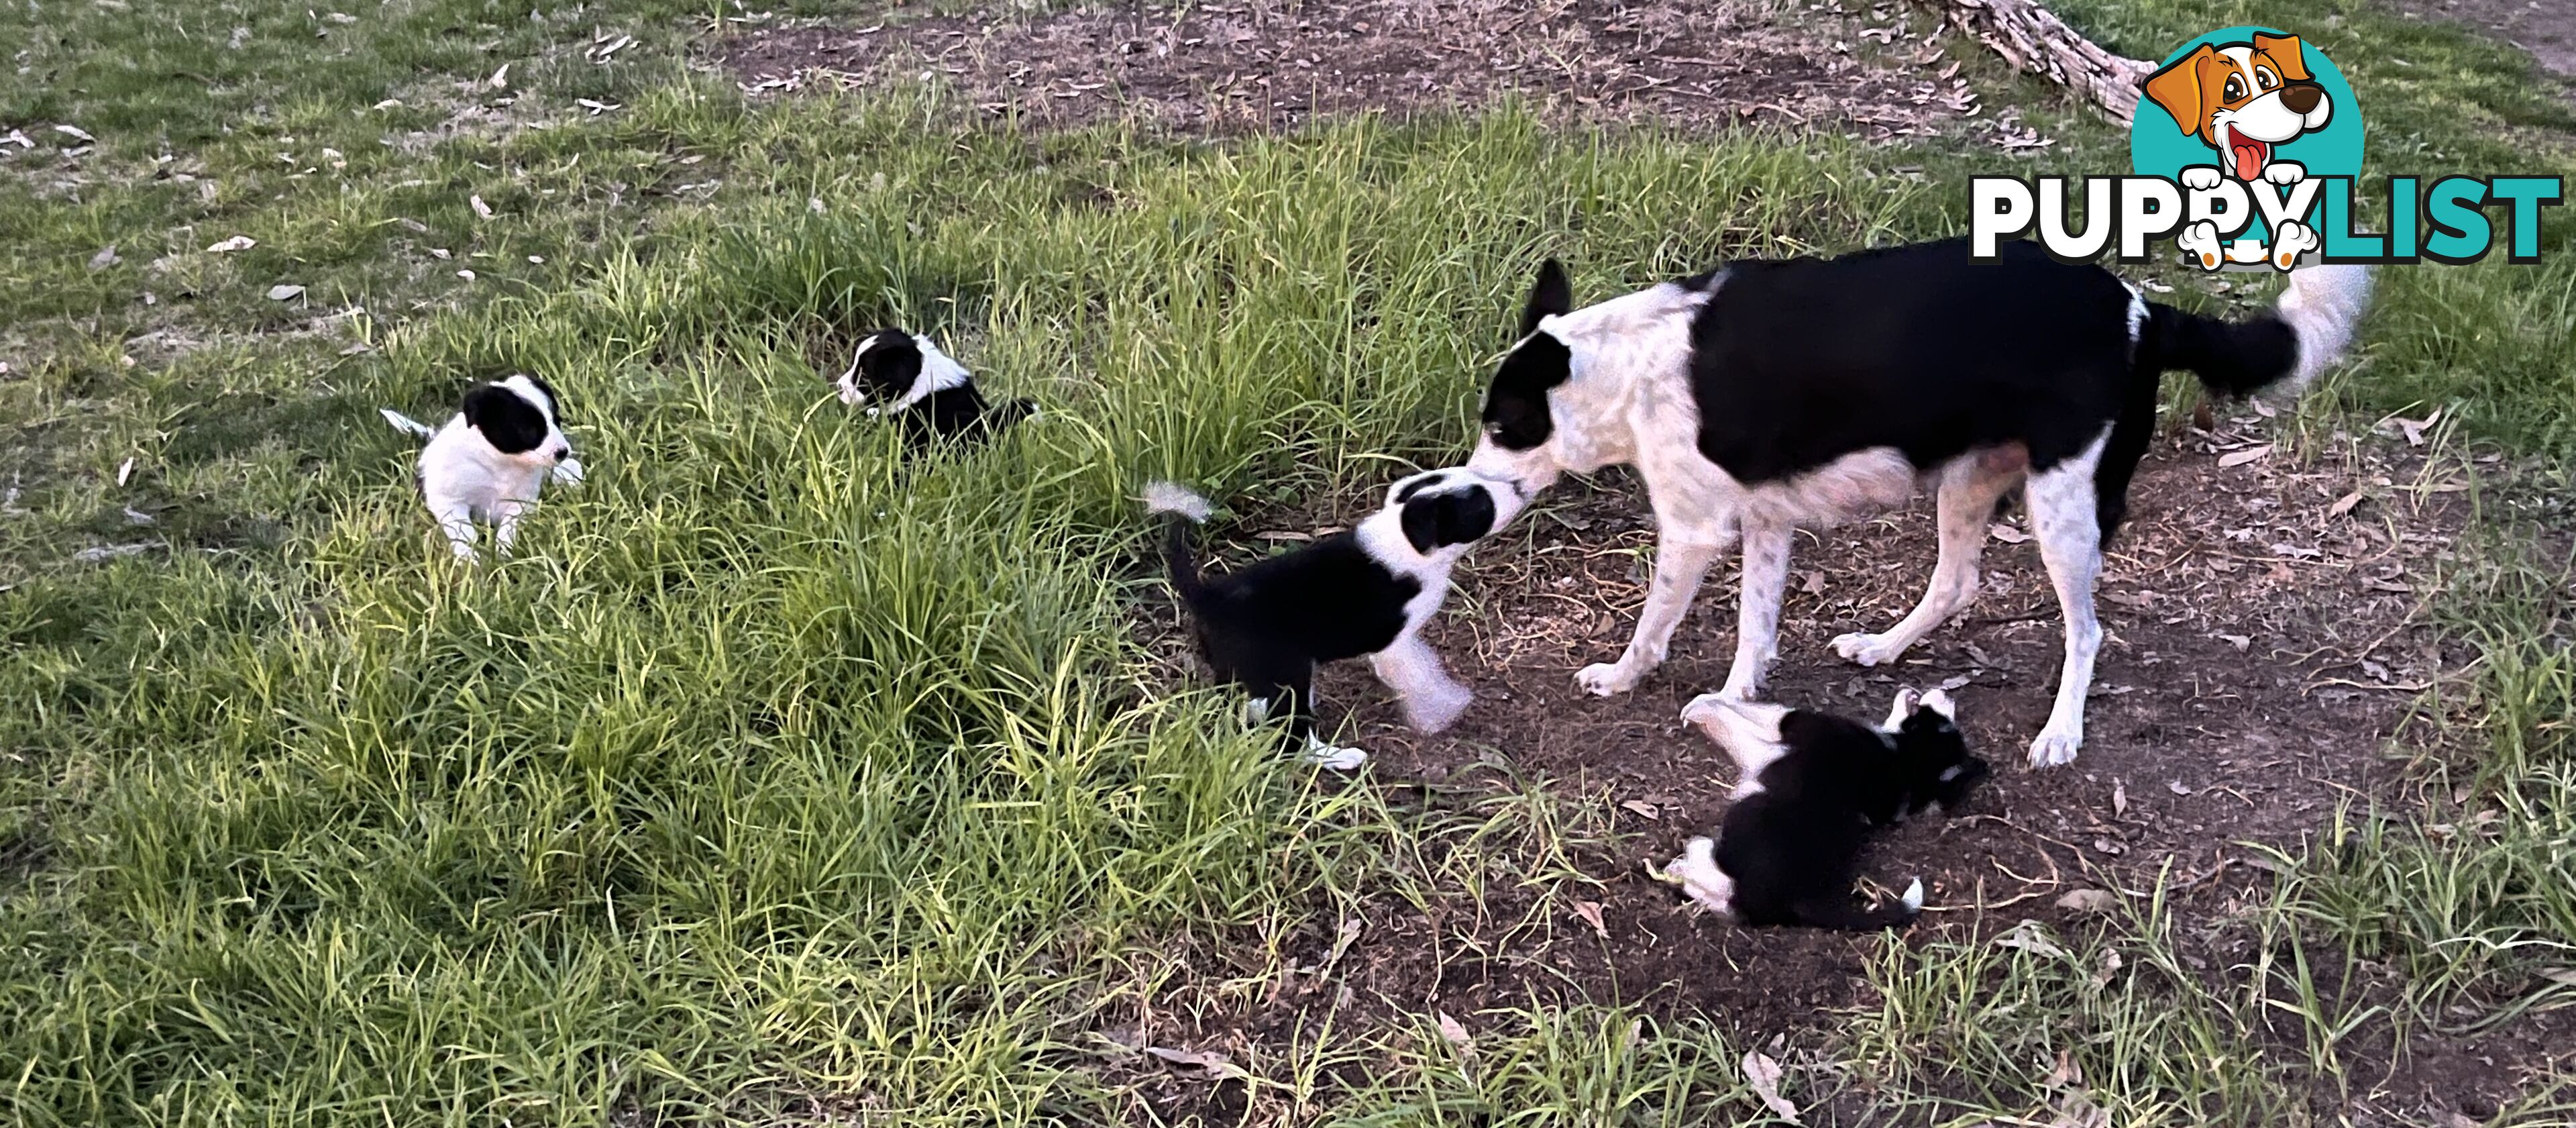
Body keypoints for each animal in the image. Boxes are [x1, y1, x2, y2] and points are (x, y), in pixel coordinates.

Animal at [376, 373, 580, 561]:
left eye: (557, 420)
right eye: (528, 430)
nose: (563, 452)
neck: (499, 464)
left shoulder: (521, 503)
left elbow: (508, 528)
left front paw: (504, 553)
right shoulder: (449, 501)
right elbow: (462, 532)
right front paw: (471, 560)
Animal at [1148, 471, 1525, 772]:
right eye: (1481, 506)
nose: (1518, 486)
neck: (1404, 536)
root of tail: (1208, 595)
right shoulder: (1391, 643)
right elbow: (1419, 669)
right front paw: (1442, 707)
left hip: (1238, 672)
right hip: (1290, 676)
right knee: (1294, 736)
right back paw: (1339, 757)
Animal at [1473, 237, 2369, 767]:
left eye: (1504, 427)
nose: (1468, 493)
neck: (1628, 361)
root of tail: (2143, 310)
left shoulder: (1695, 530)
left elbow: (1654, 624)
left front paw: (1622, 677)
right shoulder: (1767, 519)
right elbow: (1755, 631)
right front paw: (1736, 700)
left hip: (2064, 507)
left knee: (2085, 630)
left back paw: (2061, 731)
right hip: (1972, 479)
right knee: (1958, 581)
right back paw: (1885, 647)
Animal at [1658, 684, 1978, 932]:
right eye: (1942, 716)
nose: (1948, 693)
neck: (1903, 757)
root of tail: (1801, 900)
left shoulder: (1785, 726)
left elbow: (1742, 717)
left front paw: (1701, 708)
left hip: (1737, 834)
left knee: (1723, 885)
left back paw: (1683, 864)